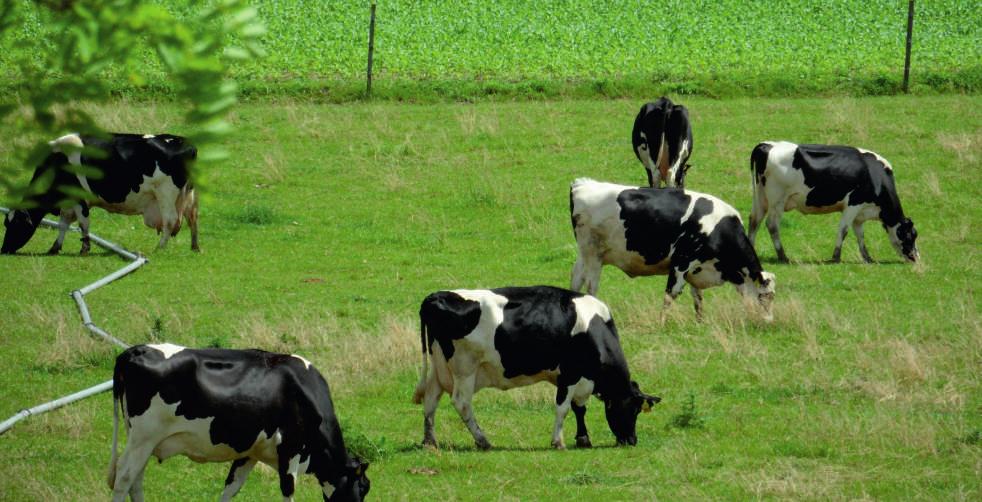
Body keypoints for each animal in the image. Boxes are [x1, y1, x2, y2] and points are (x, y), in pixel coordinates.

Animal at [0, 132, 201, 255]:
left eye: (16, 223)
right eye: (5, 223)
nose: (4, 249)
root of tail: (185, 142)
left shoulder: (80, 198)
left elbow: (83, 223)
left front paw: (84, 248)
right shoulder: (68, 200)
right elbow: (63, 223)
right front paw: (55, 247)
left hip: (165, 193)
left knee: (170, 221)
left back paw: (159, 248)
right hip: (189, 196)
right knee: (192, 218)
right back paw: (195, 247)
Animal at [106, 346, 368, 502]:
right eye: (364, 488)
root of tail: (135, 350)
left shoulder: (250, 452)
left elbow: (231, 487)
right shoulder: (290, 450)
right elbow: (288, 492)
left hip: (143, 441)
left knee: (136, 480)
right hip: (144, 437)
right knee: (124, 477)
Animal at [416, 286, 660, 452]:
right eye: (633, 409)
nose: (632, 441)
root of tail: (436, 296)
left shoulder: (575, 378)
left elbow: (579, 408)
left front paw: (583, 439)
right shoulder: (570, 374)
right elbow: (563, 408)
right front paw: (558, 441)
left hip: (439, 367)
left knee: (430, 399)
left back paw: (430, 441)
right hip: (464, 368)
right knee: (461, 402)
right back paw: (483, 441)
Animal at [568, 178, 776, 322]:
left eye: (773, 296)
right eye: (764, 296)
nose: (769, 321)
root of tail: (582, 184)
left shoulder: (696, 268)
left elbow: (698, 298)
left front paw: (700, 322)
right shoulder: (681, 262)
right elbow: (671, 295)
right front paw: (662, 323)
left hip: (584, 256)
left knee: (576, 281)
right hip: (593, 255)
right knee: (591, 286)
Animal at [752, 140, 924, 262]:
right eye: (910, 235)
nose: (916, 258)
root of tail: (767, 145)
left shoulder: (860, 214)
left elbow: (860, 234)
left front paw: (867, 257)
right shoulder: (853, 204)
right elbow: (844, 229)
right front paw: (836, 257)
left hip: (760, 197)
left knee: (754, 220)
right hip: (777, 199)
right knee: (772, 225)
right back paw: (783, 256)